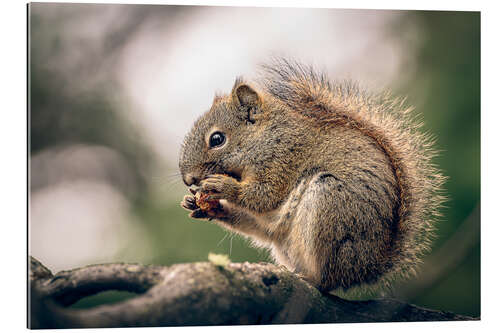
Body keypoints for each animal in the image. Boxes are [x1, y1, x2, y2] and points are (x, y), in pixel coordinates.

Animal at [178, 58, 444, 292]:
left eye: (217, 139)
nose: (188, 179)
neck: (266, 136)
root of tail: (365, 270)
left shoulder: (282, 159)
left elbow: (264, 196)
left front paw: (223, 186)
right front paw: (197, 202)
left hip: (331, 205)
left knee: (327, 278)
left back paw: (313, 279)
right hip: (284, 235)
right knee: (263, 229)